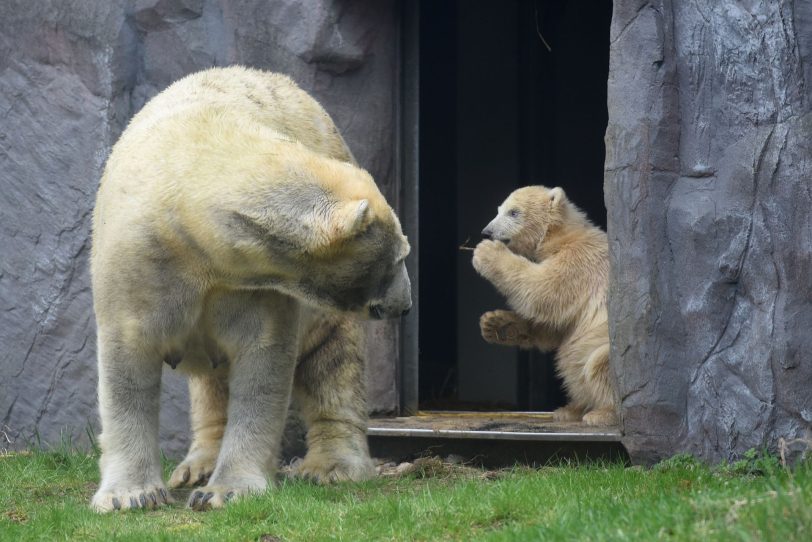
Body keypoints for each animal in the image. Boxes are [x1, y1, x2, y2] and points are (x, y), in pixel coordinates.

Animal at [90, 68, 412, 516]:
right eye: (400, 256)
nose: (406, 304)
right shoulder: (143, 258)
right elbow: (128, 363)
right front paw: (131, 495)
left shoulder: (257, 282)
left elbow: (262, 365)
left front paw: (227, 490)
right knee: (210, 384)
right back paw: (198, 466)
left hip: (327, 317)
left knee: (333, 362)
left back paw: (332, 466)